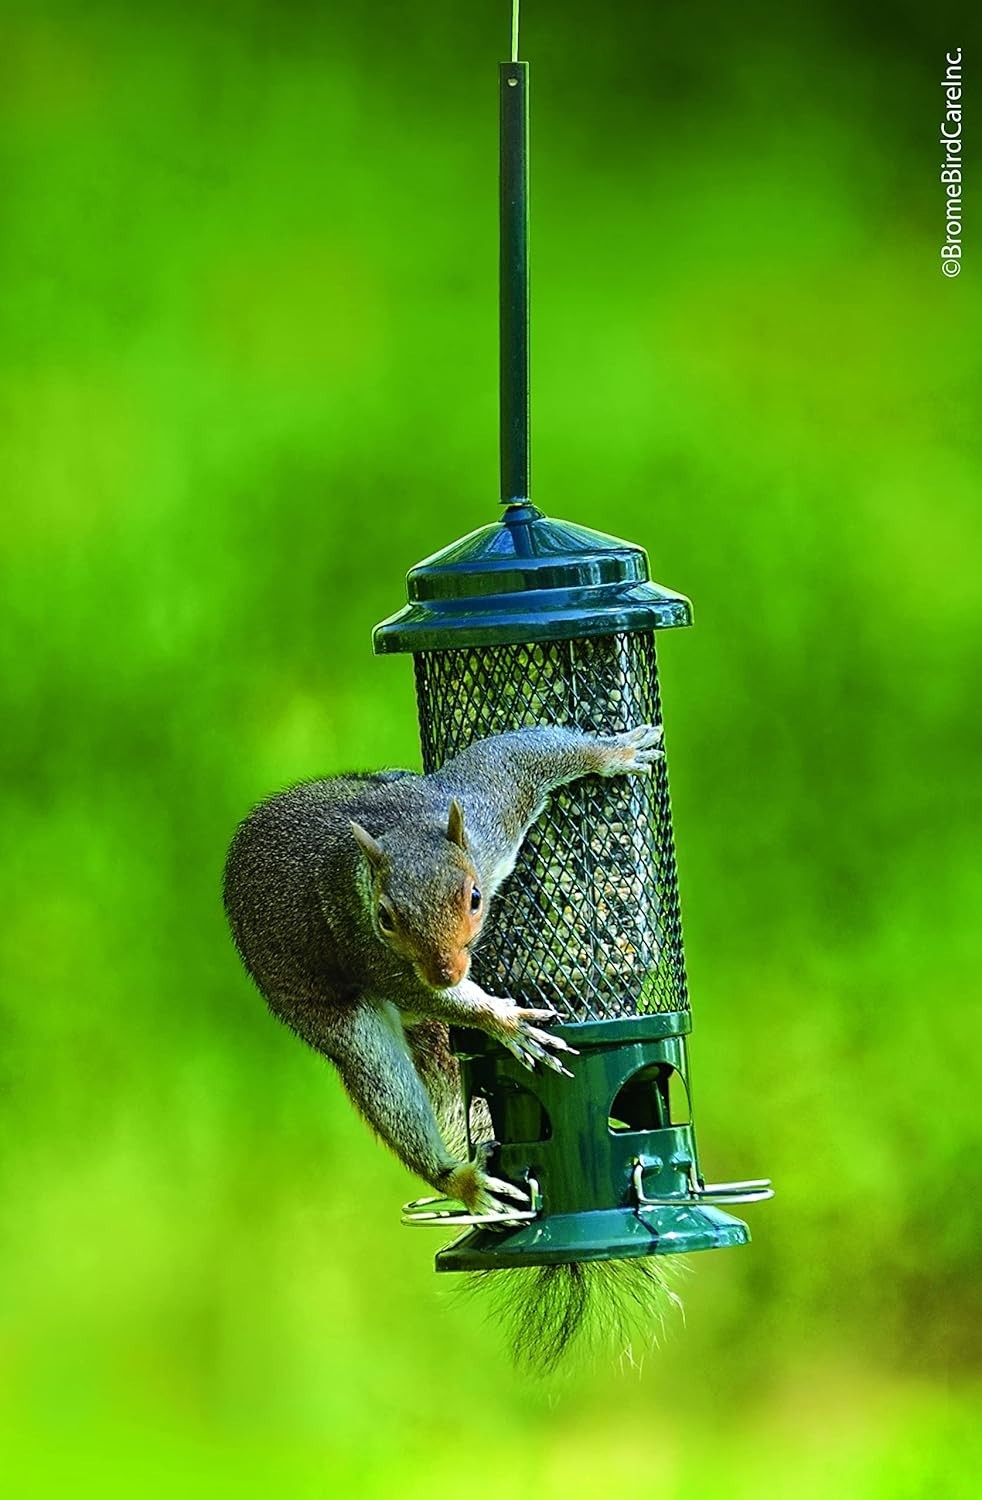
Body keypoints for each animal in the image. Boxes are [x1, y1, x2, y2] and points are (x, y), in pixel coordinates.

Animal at [223, 723, 664, 1219]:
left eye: (474, 897)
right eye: (385, 918)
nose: (446, 974)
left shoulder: (491, 810)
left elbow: (520, 755)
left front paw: (614, 752)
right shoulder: (363, 947)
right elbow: (426, 995)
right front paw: (504, 1022)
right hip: (343, 1025)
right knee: (384, 1083)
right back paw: (462, 1182)